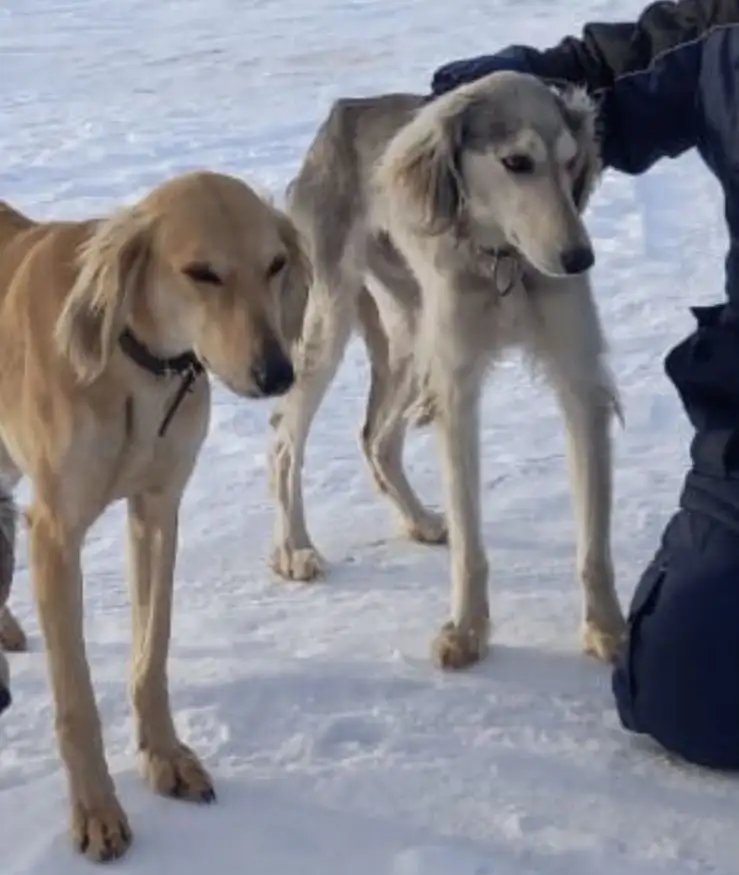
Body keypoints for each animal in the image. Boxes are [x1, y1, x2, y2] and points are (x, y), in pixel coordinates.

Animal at [0, 169, 310, 864]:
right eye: (201, 273)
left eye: (276, 264)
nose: (278, 374)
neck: (131, 360)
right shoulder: (55, 534)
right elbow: (76, 699)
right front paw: (95, 810)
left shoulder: (158, 510)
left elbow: (153, 652)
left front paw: (164, 758)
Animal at [268, 70, 628, 672]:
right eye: (516, 162)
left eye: (570, 161)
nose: (580, 259)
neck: (504, 264)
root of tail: (341, 116)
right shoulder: (458, 388)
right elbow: (470, 539)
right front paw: (466, 631)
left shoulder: (579, 380)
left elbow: (595, 540)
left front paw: (607, 628)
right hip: (332, 322)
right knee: (284, 438)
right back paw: (296, 546)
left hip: (415, 335)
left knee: (376, 436)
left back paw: (417, 520)